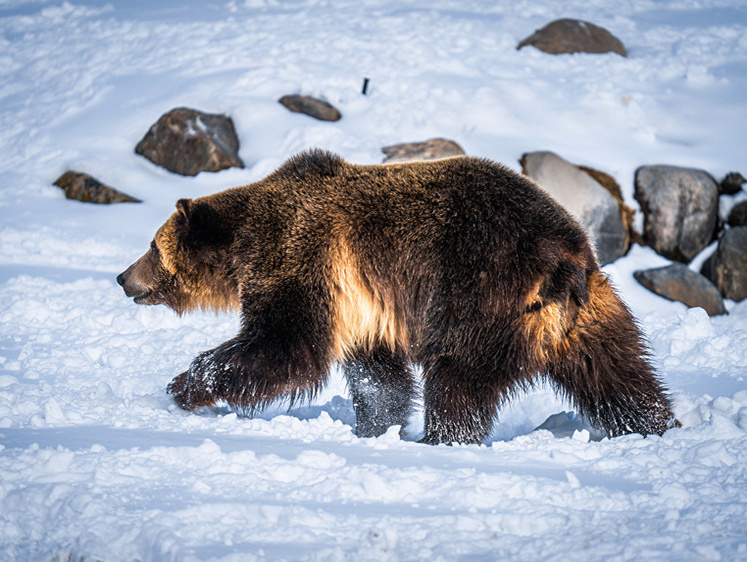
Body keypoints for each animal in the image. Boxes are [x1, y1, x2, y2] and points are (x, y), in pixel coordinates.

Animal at [115, 149, 676, 442]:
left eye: (152, 246)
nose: (122, 277)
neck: (244, 245)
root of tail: (563, 260)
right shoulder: (364, 309)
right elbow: (378, 377)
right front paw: (375, 427)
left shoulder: (301, 258)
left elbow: (286, 344)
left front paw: (186, 384)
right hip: (592, 313)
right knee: (620, 375)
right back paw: (656, 424)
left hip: (477, 297)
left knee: (457, 381)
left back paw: (442, 438)